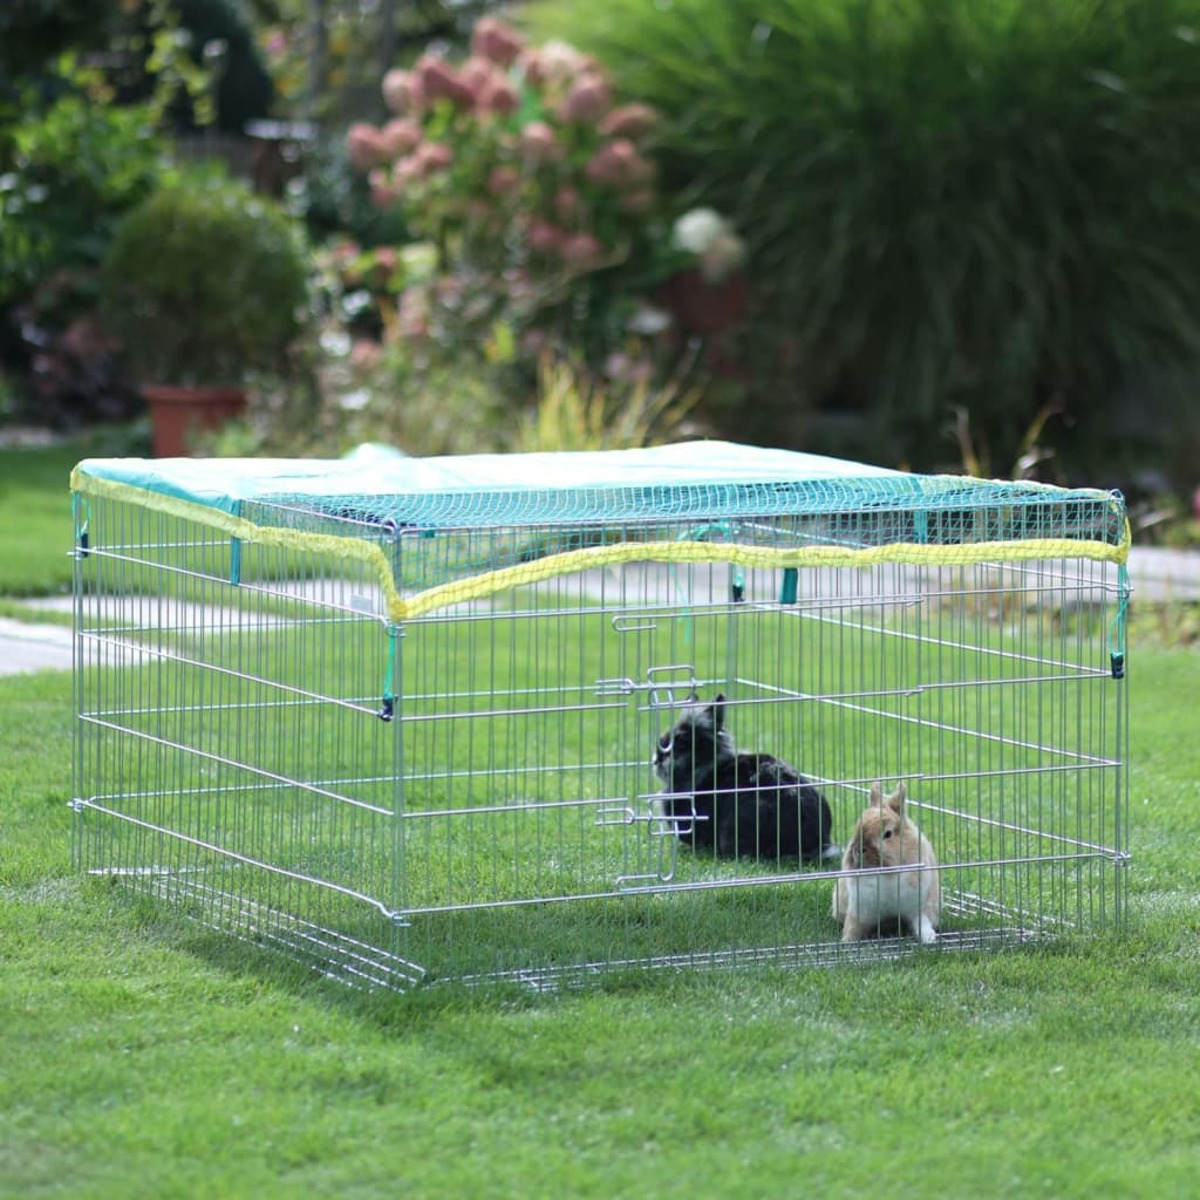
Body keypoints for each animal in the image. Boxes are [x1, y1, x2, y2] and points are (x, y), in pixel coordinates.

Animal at [833, 781, 940, 944]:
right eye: (857, 828)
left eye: (888, 834)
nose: (858, 849)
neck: (885, 871)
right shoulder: (859, 908)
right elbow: (852, 926)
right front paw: (846, 942)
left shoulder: (918, 905)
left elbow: (922, 921)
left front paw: (929, 938)